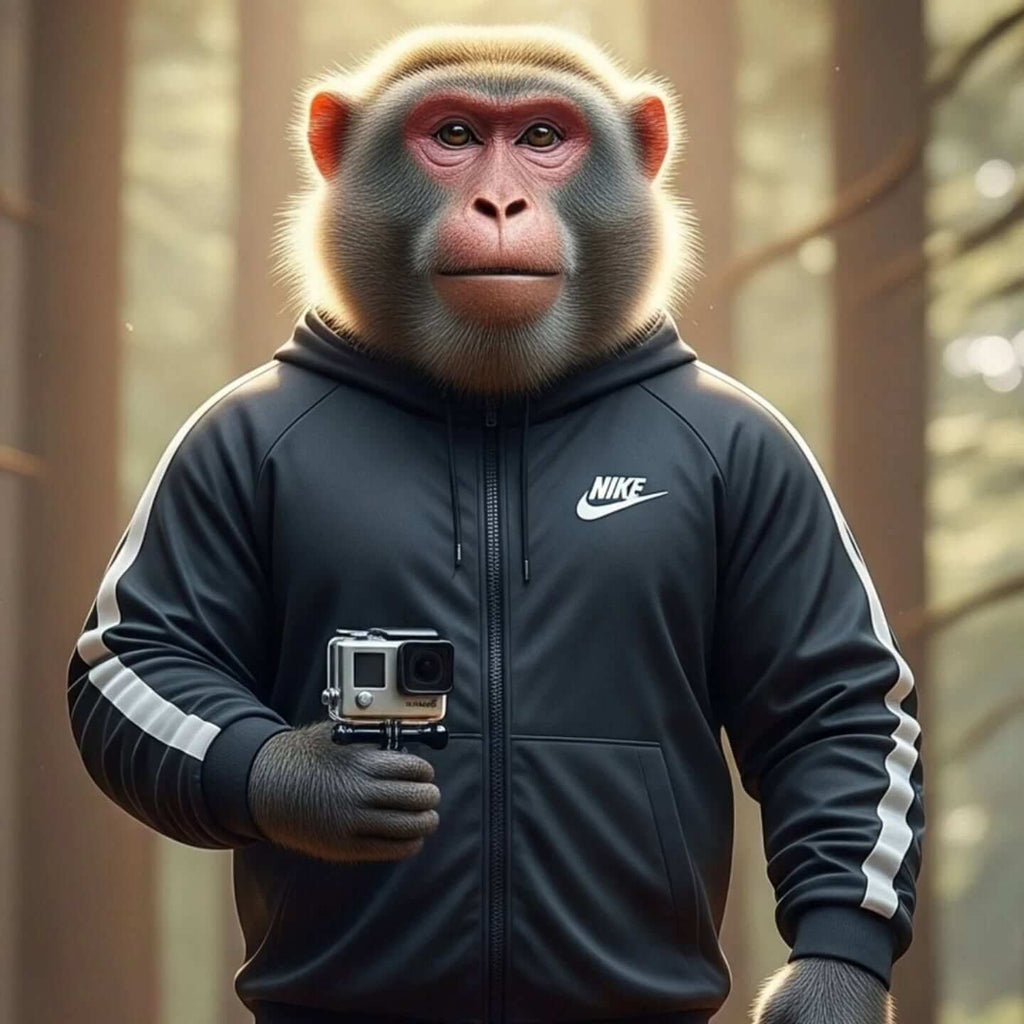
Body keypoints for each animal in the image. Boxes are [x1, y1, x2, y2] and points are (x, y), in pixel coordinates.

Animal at [69, 25, 922, 1024]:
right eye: (455, 134)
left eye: (544, 136)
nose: (502, 200)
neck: (488, 405)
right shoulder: (211, 446)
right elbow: (144, 650)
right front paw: (315, 785)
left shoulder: (771, 458)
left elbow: (831, 697)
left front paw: (830, 980)